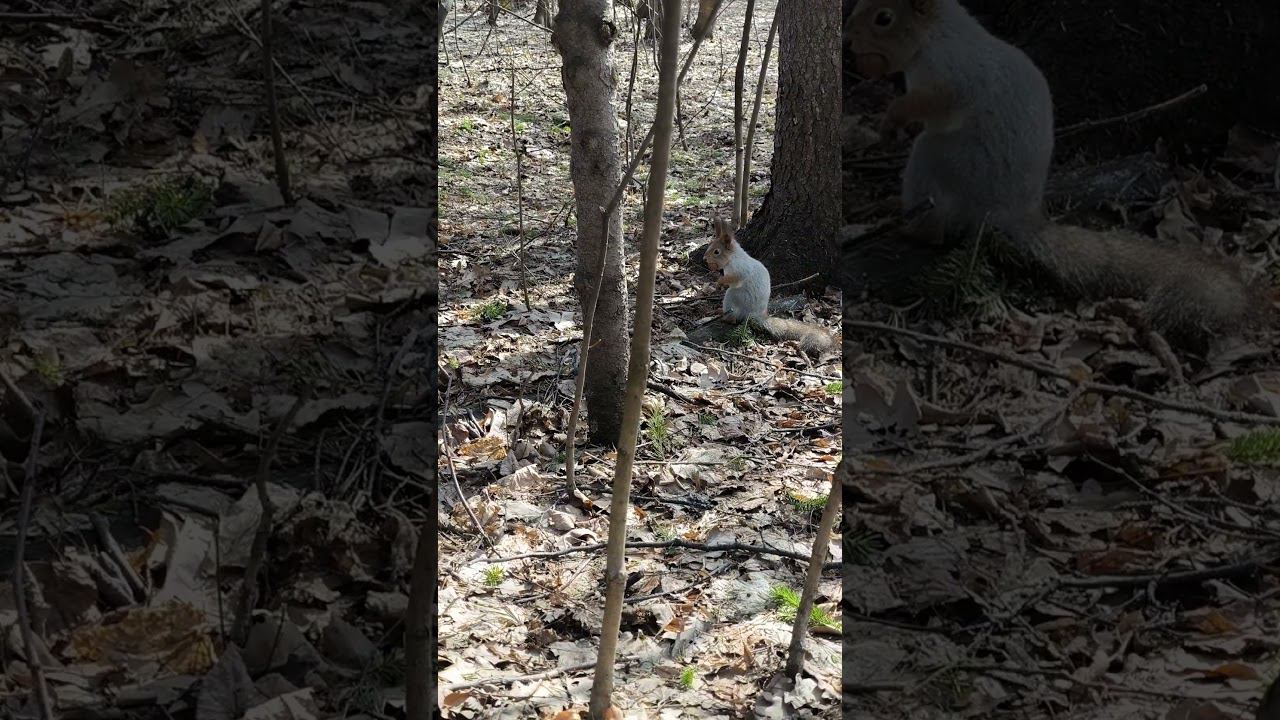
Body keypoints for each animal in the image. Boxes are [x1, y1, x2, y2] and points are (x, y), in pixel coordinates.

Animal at [706, 215, 834, 356]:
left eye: (716, 252)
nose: (704, 258)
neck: (732, 258)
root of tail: (758, 314)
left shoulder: (740, 270)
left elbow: (734, 279)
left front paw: (719, 282)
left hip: (735, 296)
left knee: (735, 315)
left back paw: (726, 317)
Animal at [844, 0, 1264, 348]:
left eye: (884, 17)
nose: (848, 39)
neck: (936, 34)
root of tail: (1016, 217)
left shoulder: (951, 73)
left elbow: (935, 103)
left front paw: (891, 118)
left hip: (938, 161)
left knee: (937, 222)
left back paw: (908, 227)